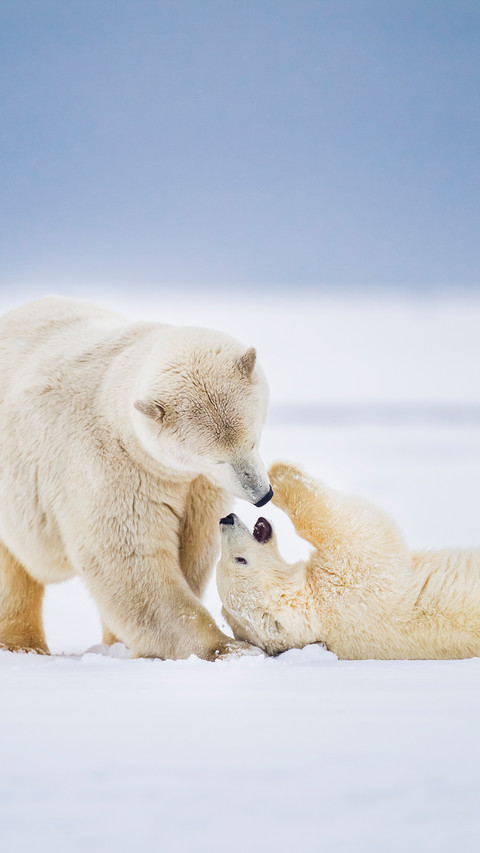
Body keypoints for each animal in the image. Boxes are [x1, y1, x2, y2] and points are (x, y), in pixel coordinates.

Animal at [0, 296, 273, 660]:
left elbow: (192, 546)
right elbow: (133, 564)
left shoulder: (194, 485)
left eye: (252, 439)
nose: (263, 495)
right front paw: (230, 648)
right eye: (216, 458)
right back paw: (23, 645)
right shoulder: (113, 470)